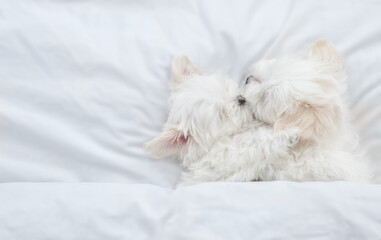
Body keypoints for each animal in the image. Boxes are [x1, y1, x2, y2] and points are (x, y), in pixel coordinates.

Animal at [145, 56, 300, 186]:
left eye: (226, 88)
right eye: (222, 114)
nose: (241, 99)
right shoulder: (237, 154)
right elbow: (262, 144)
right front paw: (289, 135)